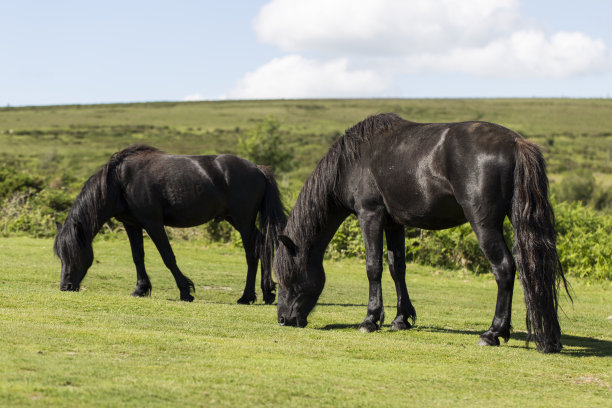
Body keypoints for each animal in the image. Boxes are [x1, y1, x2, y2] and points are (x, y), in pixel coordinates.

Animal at [54, 145, 286, 304]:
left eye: (72, 252)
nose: (65, 286)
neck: (119, 181)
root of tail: (259, 169)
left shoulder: (153, 224)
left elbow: (168, 257)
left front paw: (186, 291)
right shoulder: (132, 225)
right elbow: (137, 257)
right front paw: (140, 289)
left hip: (243, 221)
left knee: (252, 252)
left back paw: (247, 296)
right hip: (236, 220)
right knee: (262, 244)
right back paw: (267, 292)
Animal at [274, 113, 572, 352]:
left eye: (286, 277)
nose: (283, 319)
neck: (352, 160)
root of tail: (515, 143)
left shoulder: (370, 215)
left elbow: (373, 267)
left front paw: (370, 320)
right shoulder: (394, 223)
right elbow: (397, 268)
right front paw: (400, 319)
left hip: (484, 224)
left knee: (505, 269)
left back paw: (492, 333)